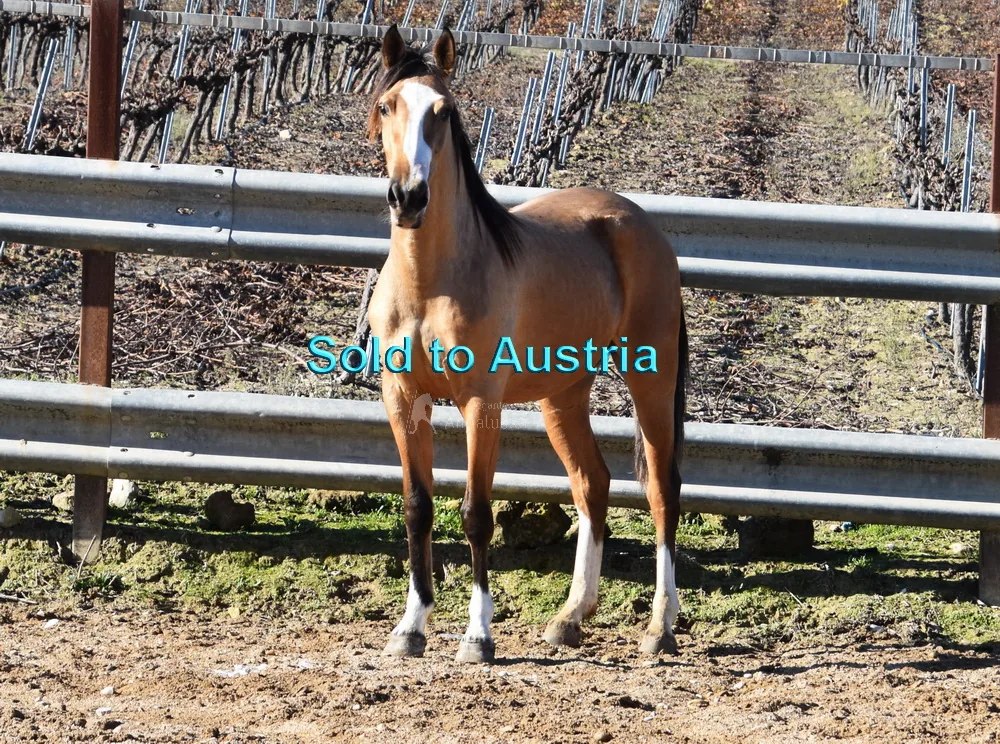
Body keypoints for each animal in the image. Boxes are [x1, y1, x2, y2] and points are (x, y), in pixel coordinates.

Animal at [366, 25, 688, 663]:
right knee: (593, 483)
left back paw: (659, 626)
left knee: (662, 489)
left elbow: (475, 513)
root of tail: (640, 224)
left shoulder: (480, 404)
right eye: (387, 106)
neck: (432, 284)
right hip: (562, 394)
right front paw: (410, 629)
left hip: (651, 379)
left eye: (443, 111)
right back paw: (570, 617)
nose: (408, 197)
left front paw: (477, 638)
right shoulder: (403, 399)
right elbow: (417, 507)